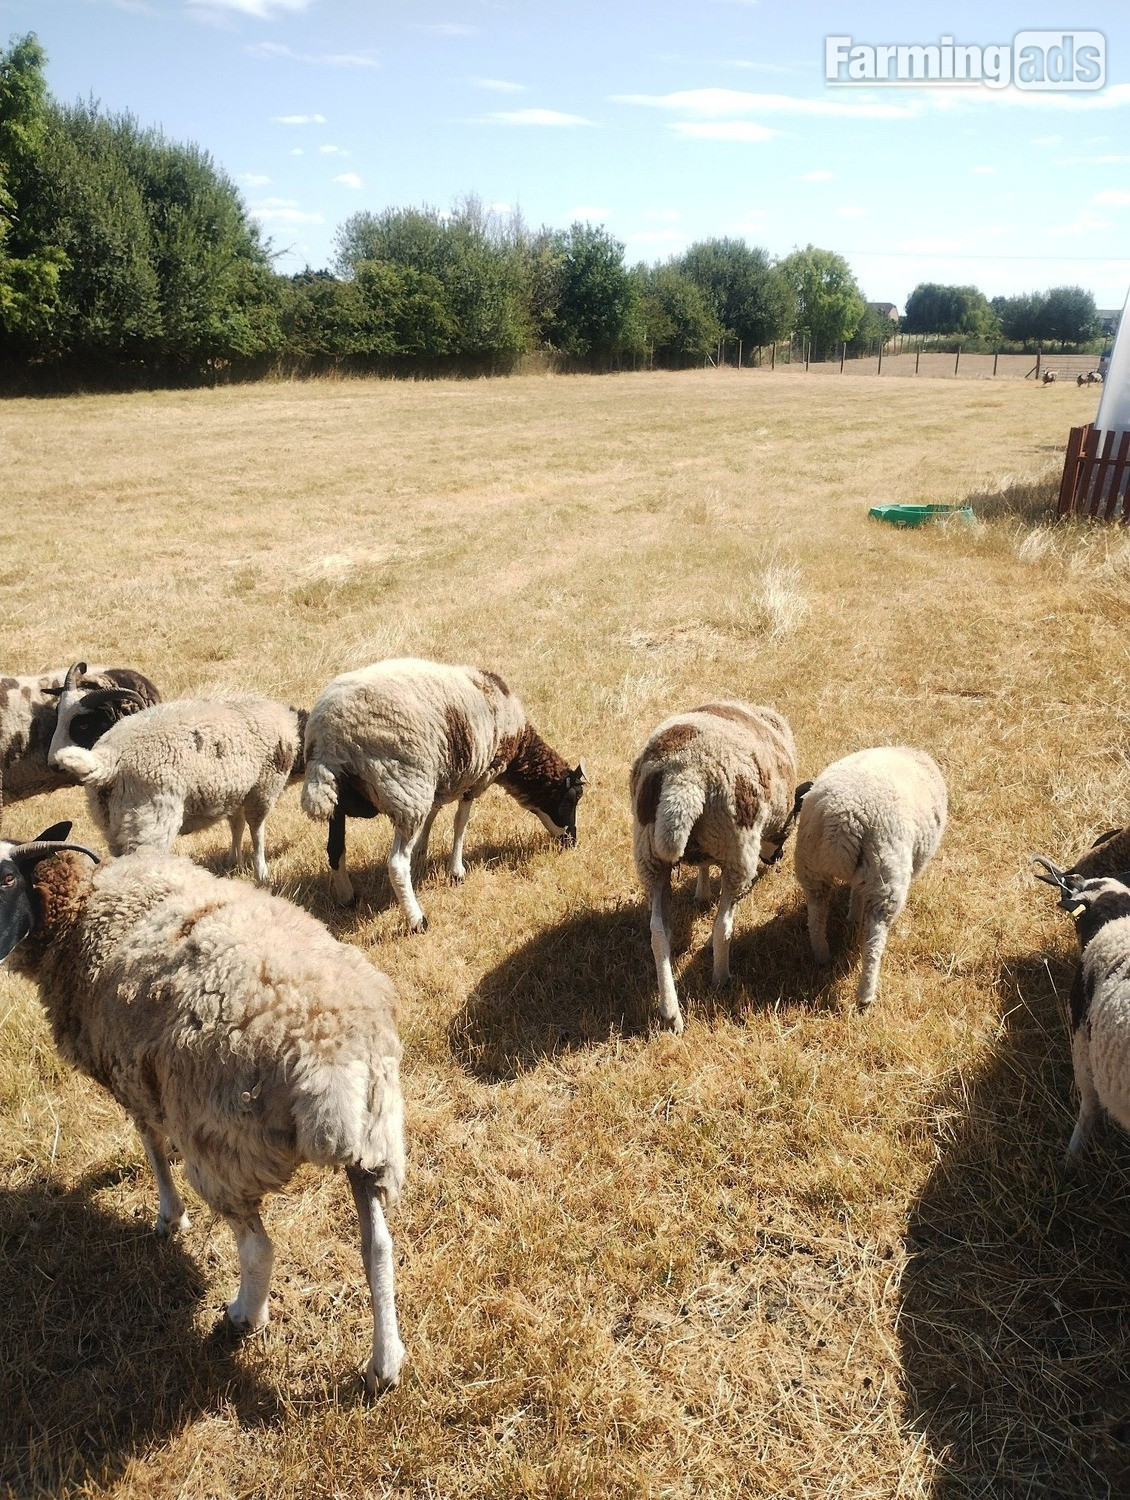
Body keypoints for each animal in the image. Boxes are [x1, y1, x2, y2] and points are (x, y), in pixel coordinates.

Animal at [0, 822, 407, 1395]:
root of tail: (328, 1054)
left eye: (5, 879)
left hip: (224, 1146)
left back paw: (243, 1317)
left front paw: (170, 1217)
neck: (80, 909)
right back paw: (384, 1364)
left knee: (258, 1248)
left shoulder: (131, 1074)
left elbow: (150, 1145)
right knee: (378, 1247)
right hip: (375, 1138)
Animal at [48, 671, 306, 883]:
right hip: (151, 821)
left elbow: (236, 825)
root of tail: (107, 758)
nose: (52, 764)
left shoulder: (237, 791)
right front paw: (261, 873)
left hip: (112, 824)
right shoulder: (263, 788)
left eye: (81, 724)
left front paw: (234, 862)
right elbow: (257, 830)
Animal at [301, 658, 585, 932]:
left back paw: (347, 898)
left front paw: (423, 850)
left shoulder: (441, 778)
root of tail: (329, 740)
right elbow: (460, 823)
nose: (573, 842)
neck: (518, 746)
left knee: (335, 850)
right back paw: (417, 920)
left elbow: (434, 814)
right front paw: (456, 871)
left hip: (342, 799)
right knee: (396, 864)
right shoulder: (477, 776)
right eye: (571, 800)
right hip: (406, 791)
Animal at [630, 701, 802, 1035]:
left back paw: (670, 1012)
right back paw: (721, 978)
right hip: (737, 849)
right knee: (723, 925)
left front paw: (702, 891)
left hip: (650, 856)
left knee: (658, 931)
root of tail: (683, 777)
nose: (777, 859)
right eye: (789, 830)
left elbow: (703, 866)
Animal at [793, 746, 947, 1007]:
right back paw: (866, 994)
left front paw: (853, 915)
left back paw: (822, 955)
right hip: (887, 875)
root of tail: (843, 817)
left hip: (811, 868)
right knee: (874, 941)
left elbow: (855, 891)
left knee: (816, 917)